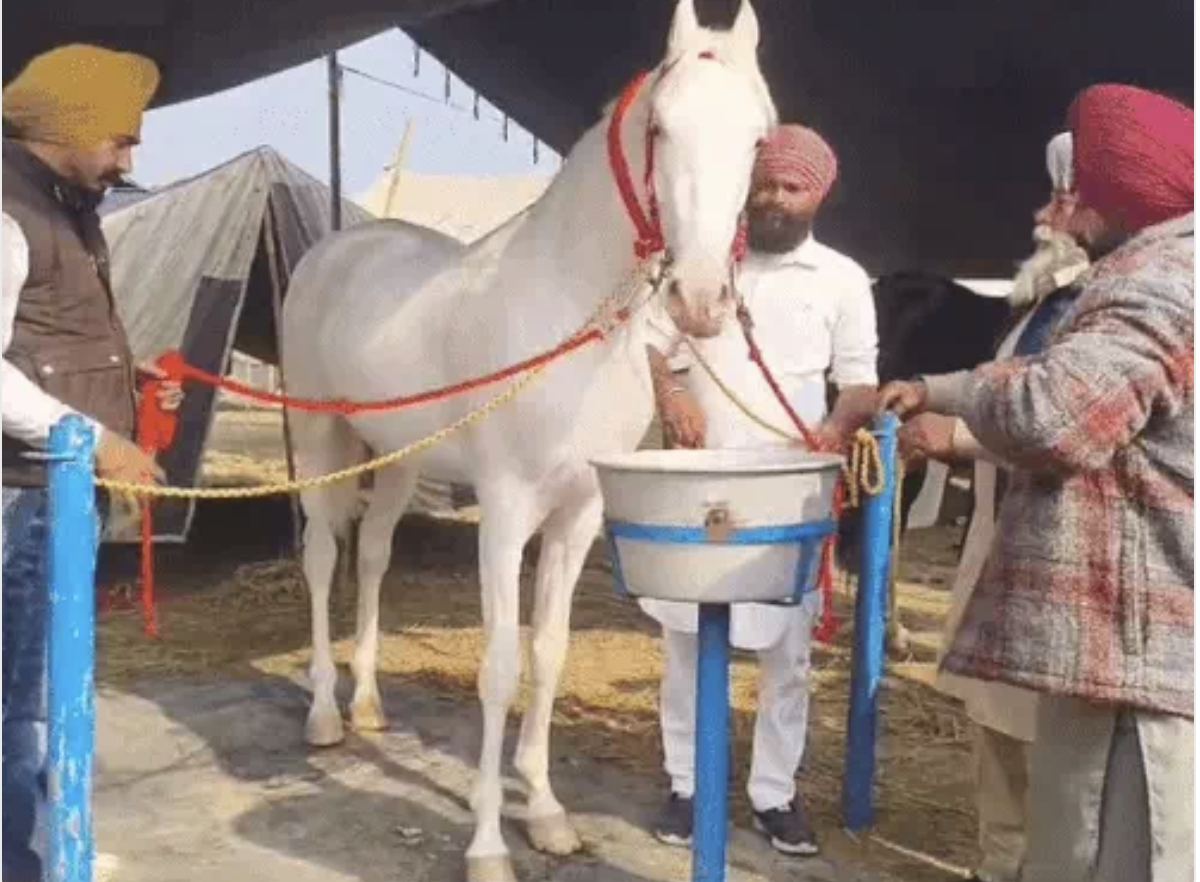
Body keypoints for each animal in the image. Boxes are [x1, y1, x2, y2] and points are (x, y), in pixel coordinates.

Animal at [278, 1, 778, 878]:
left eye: (756, 138)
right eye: (662, 127)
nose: (702, 301)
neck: (566, 317)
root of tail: (334, 248)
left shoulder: (579, 514)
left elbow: (548, 654)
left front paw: (544, 811)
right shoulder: (507, 510)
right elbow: (500, 665)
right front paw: (486, 844)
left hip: (399, 459)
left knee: (371, 557)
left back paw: (368, 703)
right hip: (319, 441)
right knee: (322, 559)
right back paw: (325, 716)